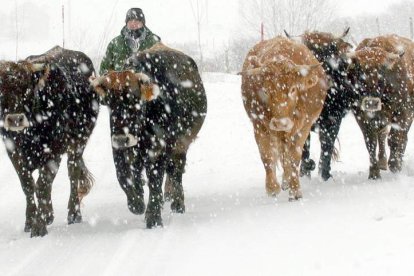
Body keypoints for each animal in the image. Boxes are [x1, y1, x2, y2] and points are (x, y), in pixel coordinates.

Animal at [0, 45, 99, 237]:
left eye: (27, 89)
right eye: (1, 90)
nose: (15, 119)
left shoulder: (54, 150)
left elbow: (42, 185)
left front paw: (39, 225)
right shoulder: (13, 151)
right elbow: (28, 185)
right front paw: (30, 221)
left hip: (79, 142)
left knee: (73, 172)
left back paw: (73, 213)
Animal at [90, 43, 207, 229]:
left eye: (135, 100)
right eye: (109, 102)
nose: (122, 138)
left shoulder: (160, 148)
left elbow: (155, 179)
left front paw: (153, 217)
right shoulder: (119, 148)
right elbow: (123, 176)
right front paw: (136, 202)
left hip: (181, 144)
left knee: (176, 171)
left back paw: (177, 203)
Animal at [241, 37, 328, 201]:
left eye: (293, 89)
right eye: (266, 90)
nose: (281, 123)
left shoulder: (304, 127)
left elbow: (294, 157)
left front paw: (295, 191)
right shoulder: (259, 125)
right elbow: (267, 157)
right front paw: (272, 188)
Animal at [346, 35, 414, 179]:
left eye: (382, 73)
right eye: (359, 72)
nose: (371, 103)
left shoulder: (403, 112)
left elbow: (395, 138)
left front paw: (395, 164)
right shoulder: (361, 115)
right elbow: (370, 141)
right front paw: (374, 173)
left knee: (401, 136)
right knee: (382, 136)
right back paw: (382, 162)